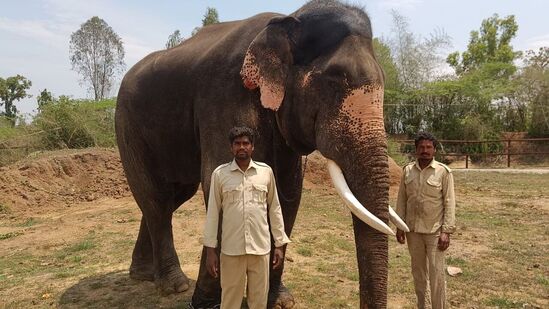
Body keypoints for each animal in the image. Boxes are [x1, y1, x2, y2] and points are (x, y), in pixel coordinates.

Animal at [114, 1, 406, 306]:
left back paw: (144, 275)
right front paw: (206, 303)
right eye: (333, 81)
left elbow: (288, 195)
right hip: (128, 126)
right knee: (156, 198)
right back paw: (174, 286)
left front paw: (280, 301)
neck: (288, 20)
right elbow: (215, 179)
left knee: (173, 195)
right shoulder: (224, 94)